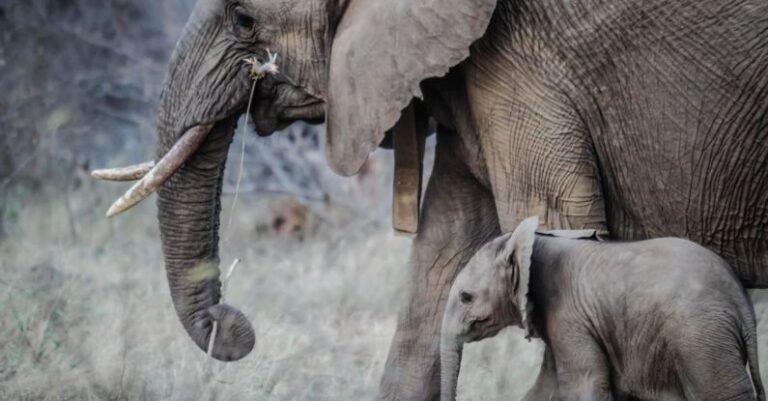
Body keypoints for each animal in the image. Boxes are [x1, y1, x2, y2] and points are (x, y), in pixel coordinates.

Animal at [440, 216, 764, 400]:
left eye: (466, 297)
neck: (531, 242)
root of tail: (740, 301)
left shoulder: (570, 316)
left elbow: (585, 384)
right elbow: (544, 389)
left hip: (701, 338)